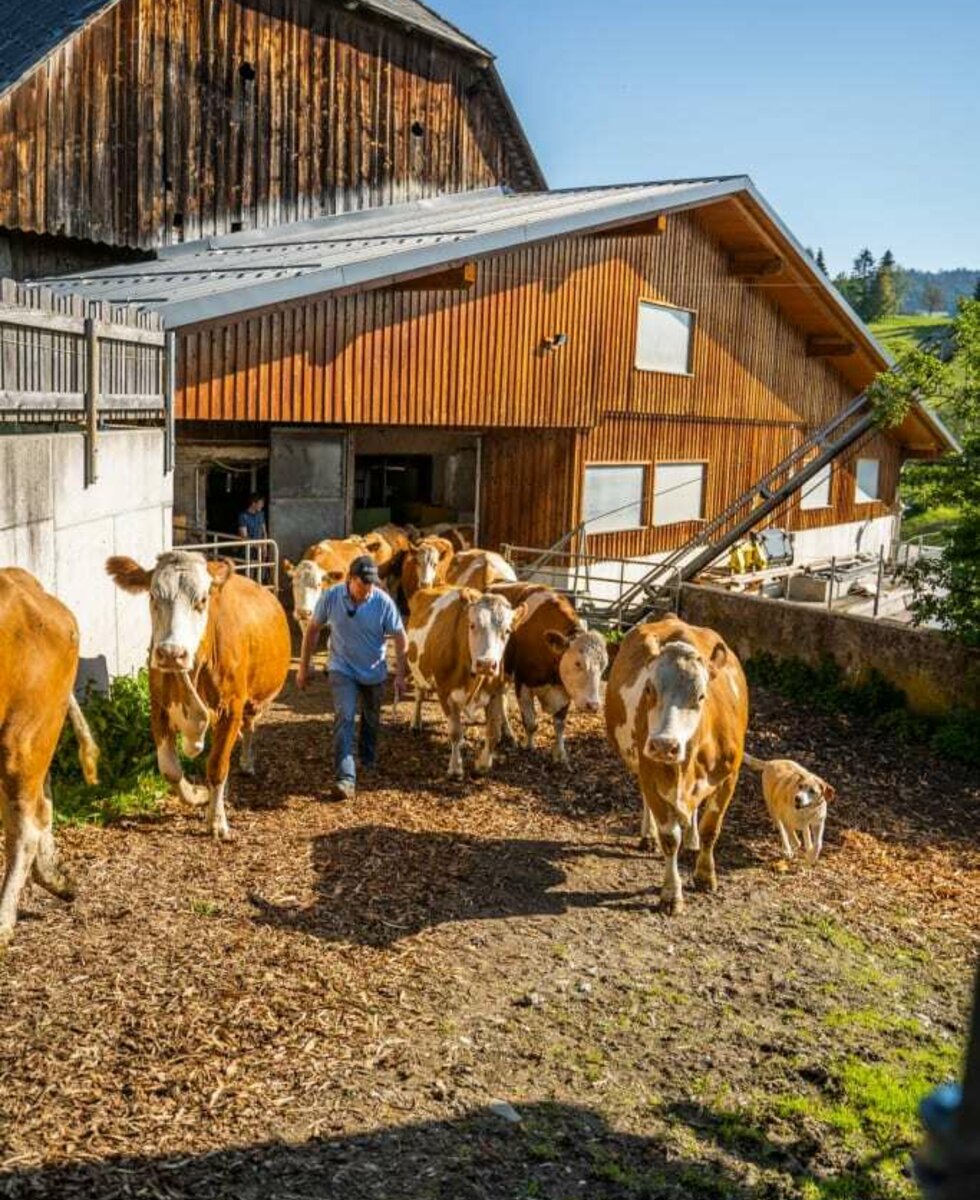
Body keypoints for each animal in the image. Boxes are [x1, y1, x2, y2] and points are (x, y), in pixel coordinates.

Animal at [107, 549, 290, 840]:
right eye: (153, 596)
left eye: (202, 600)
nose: (171, 652)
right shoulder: (158, 707)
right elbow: (170, 769)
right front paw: (197, 795)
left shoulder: (231, 709)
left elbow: (216, 767)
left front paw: (216, 820)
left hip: (252, 701)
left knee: (248, 727)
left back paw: (246, 762)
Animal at [405, 588, 527, 777]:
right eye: (472, 625)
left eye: (507, 631)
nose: (486, 664)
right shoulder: (444, 692)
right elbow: (455, 732)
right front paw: (455, 767)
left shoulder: (496, 693)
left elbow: (493, 732)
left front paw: (483, 765)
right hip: (417, 670)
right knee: (419, 695)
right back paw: (415, 723)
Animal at [487, 583, 604, 768]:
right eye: (578, 663)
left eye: (603, 666)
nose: (593, 705)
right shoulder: (523, 683)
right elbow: (531, 723)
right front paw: (529, 746)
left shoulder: (565, 689)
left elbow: (560, 725)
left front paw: (560, 755)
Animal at [599, 614, 743, 912]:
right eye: (649, 689)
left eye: (701, 696)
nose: (665, 744)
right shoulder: (651, 772)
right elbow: (669, 838)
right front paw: (671, 893)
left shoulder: (729, 777)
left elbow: (711, 828)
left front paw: (705, 875)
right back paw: (649, 835)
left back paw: (692, 840)